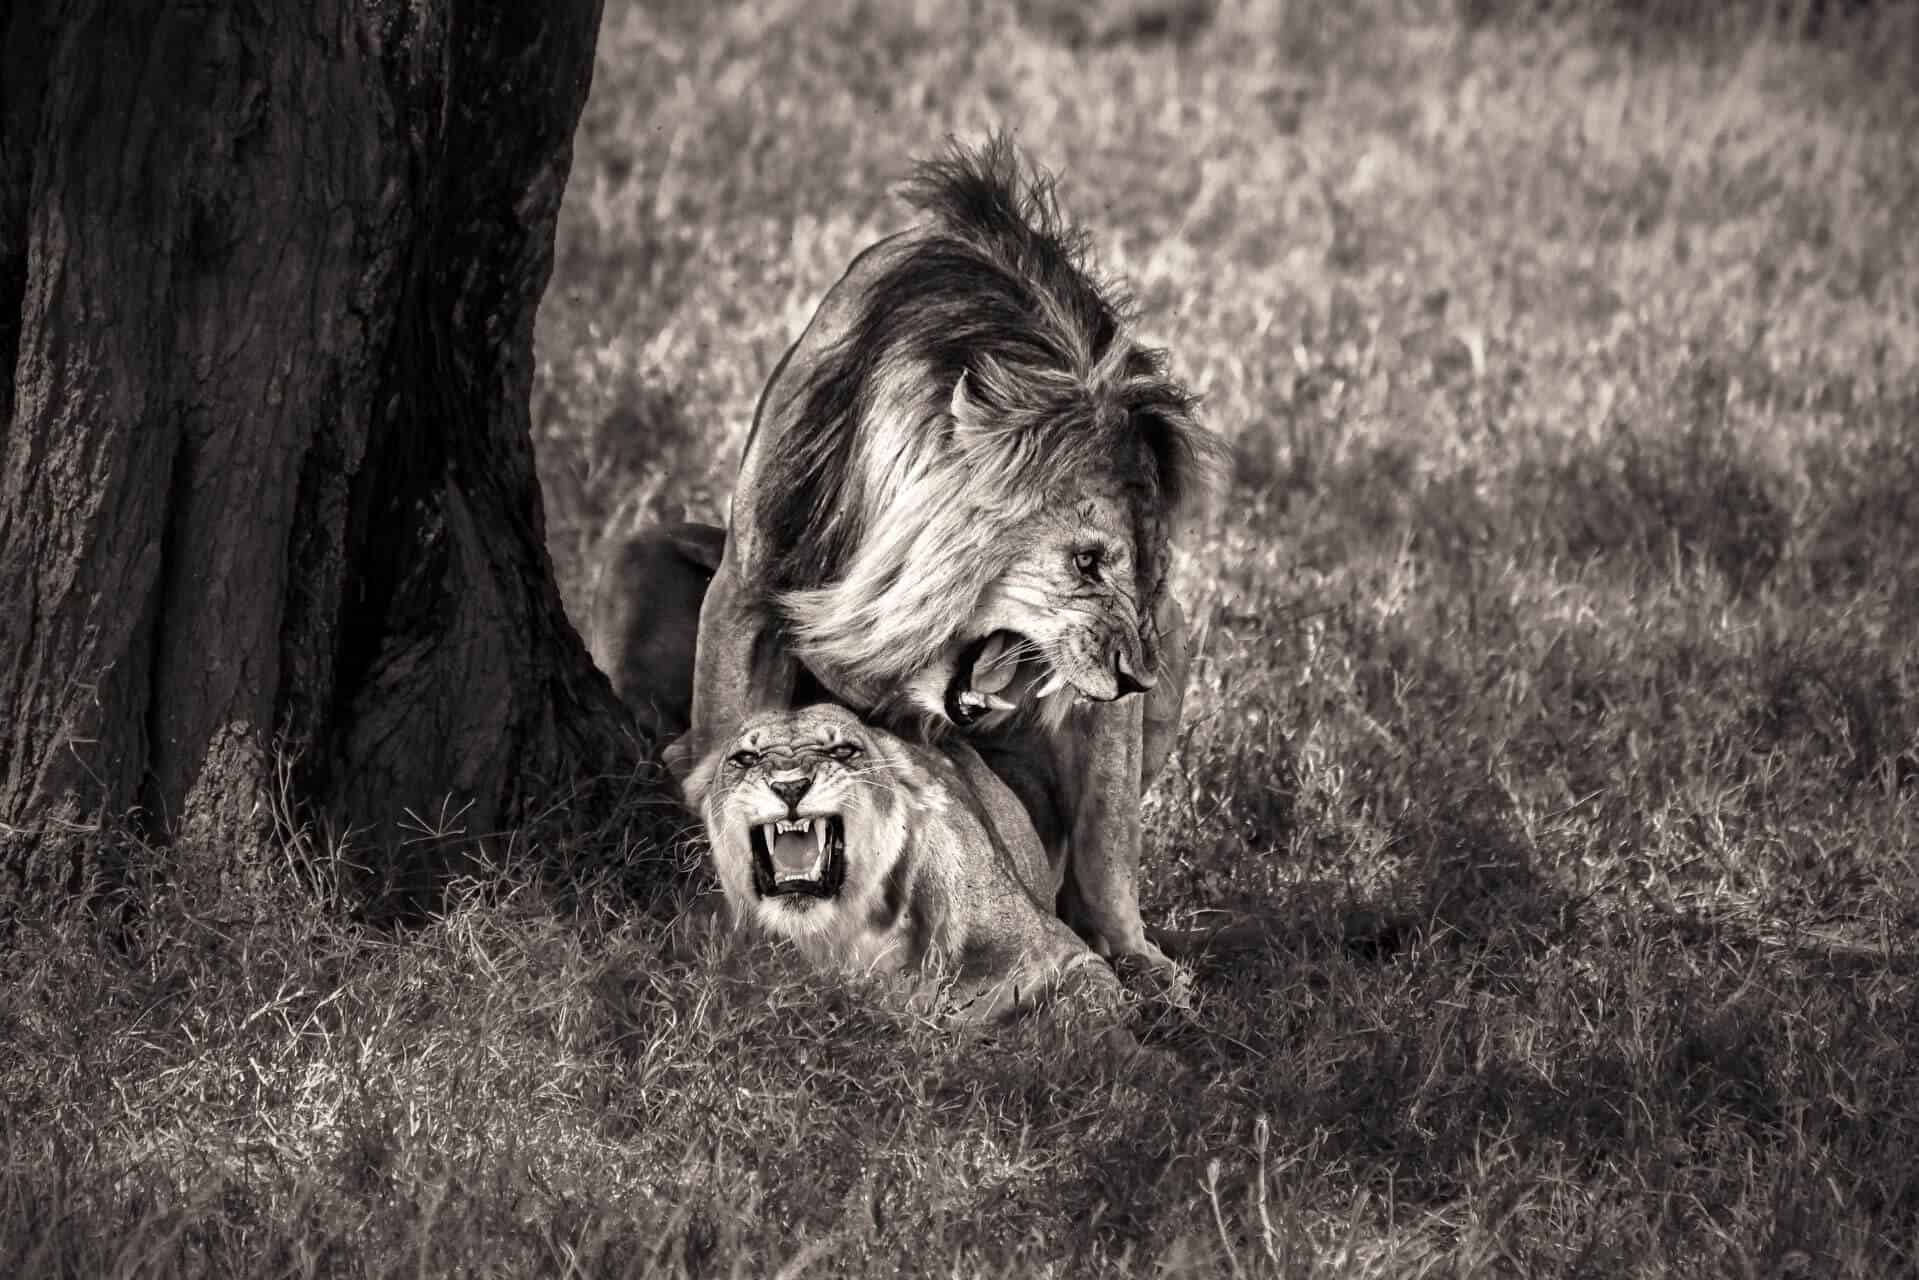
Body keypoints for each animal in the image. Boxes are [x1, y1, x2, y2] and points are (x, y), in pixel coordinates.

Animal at [681, 702, 1132, 1029]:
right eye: (745, 757)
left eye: (843, 750)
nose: (790, 785)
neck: (851, 931)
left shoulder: (1069, 953)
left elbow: (1090, 1010)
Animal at [684, 136, 1229, 986]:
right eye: (1085, 562)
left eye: (1149, 570)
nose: (1135, 677)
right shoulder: (744, 589)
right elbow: (723, 735)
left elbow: (1108, 829)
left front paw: (1135, 957)